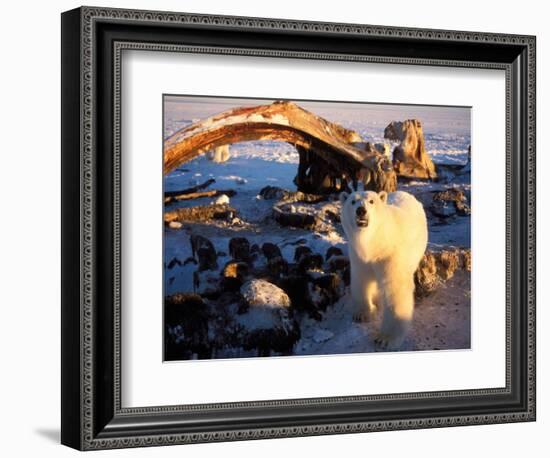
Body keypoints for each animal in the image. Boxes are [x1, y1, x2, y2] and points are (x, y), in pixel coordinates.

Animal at [340, 188, 432, 348]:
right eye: (352, 201)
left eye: (371, 201)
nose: (361, 210)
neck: (376, 242)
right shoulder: (359, 257)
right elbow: (361, 278)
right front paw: (362, 314)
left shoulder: (390, 255)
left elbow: (395, 289)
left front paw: (385, 338)